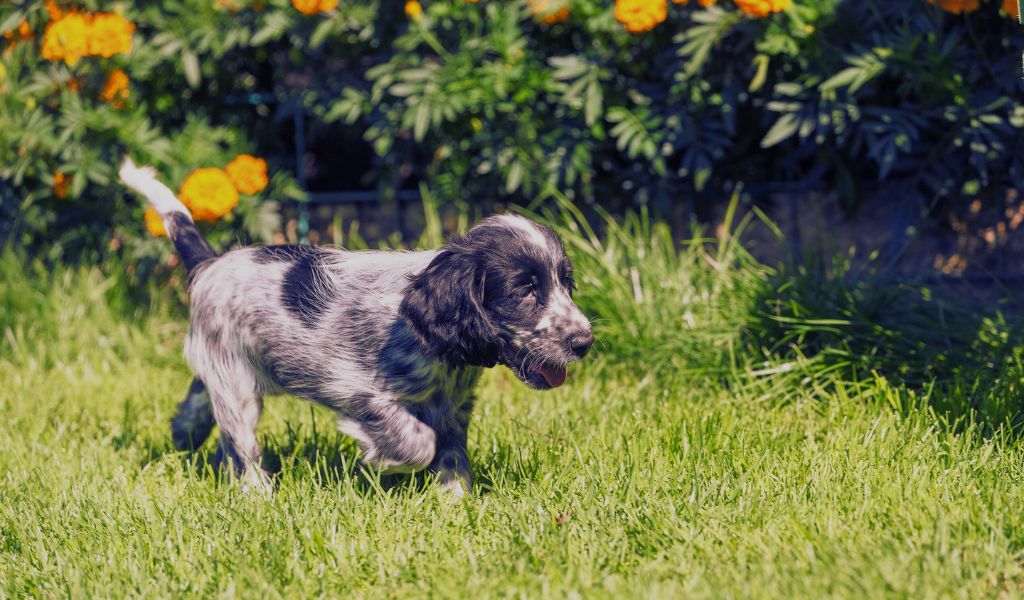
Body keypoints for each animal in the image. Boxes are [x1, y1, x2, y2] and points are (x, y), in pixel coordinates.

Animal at [118, 156, 593, 493]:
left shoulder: (454, 406)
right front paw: (382, 457)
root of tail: (210, 264)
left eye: (566, 284)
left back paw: (187, 432)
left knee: (207, 404)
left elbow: (452, 455)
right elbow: (420, 442)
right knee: (243, 443)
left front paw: (455, 502)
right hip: (237, 384)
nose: (585, 342)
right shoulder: (354, 387)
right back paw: (258, 494)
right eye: (525, 291)